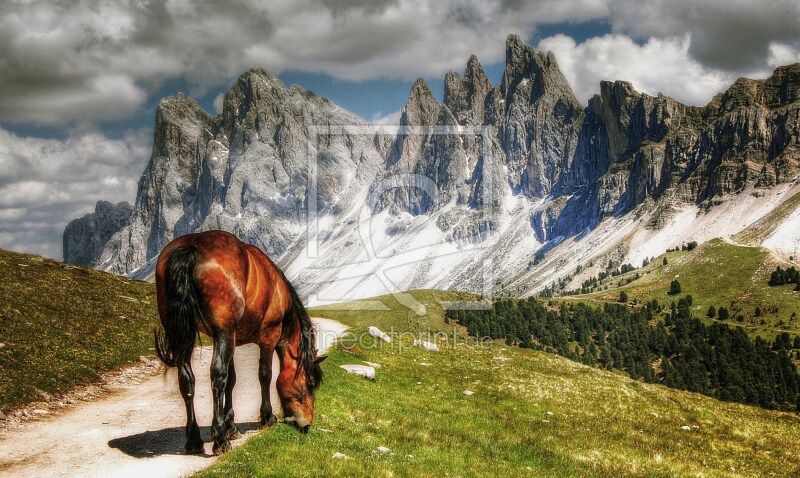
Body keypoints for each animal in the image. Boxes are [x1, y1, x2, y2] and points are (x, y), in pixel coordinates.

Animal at [153, 232, 322, 456]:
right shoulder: (268, 337)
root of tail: (191, 247)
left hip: (185, 335)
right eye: (310, 385)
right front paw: (267, 417)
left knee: (187, 380)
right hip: (223, 332)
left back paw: (194, 439)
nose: (307, 424)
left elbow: (231, 380)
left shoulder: (232, 339)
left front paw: (231, 426)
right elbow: (265, 375)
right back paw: (219, 439)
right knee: (217, 376)